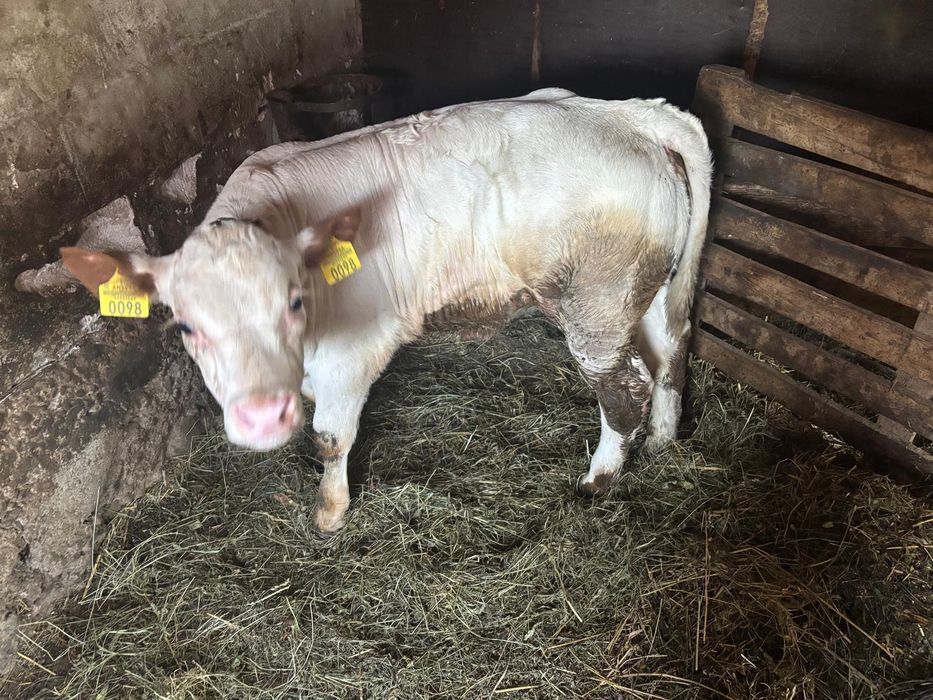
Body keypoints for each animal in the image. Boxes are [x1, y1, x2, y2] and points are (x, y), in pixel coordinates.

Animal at [61, 88, 712, 534]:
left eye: (293, 302)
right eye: (185, 324)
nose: (260, 417)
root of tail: (623, 113)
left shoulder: (353, 350)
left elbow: (330, 437)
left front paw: (330, 512)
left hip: (596, 305)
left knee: (625, 388)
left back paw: (598, 478)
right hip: (649, 292)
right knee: (670, 356)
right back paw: (662, 442)